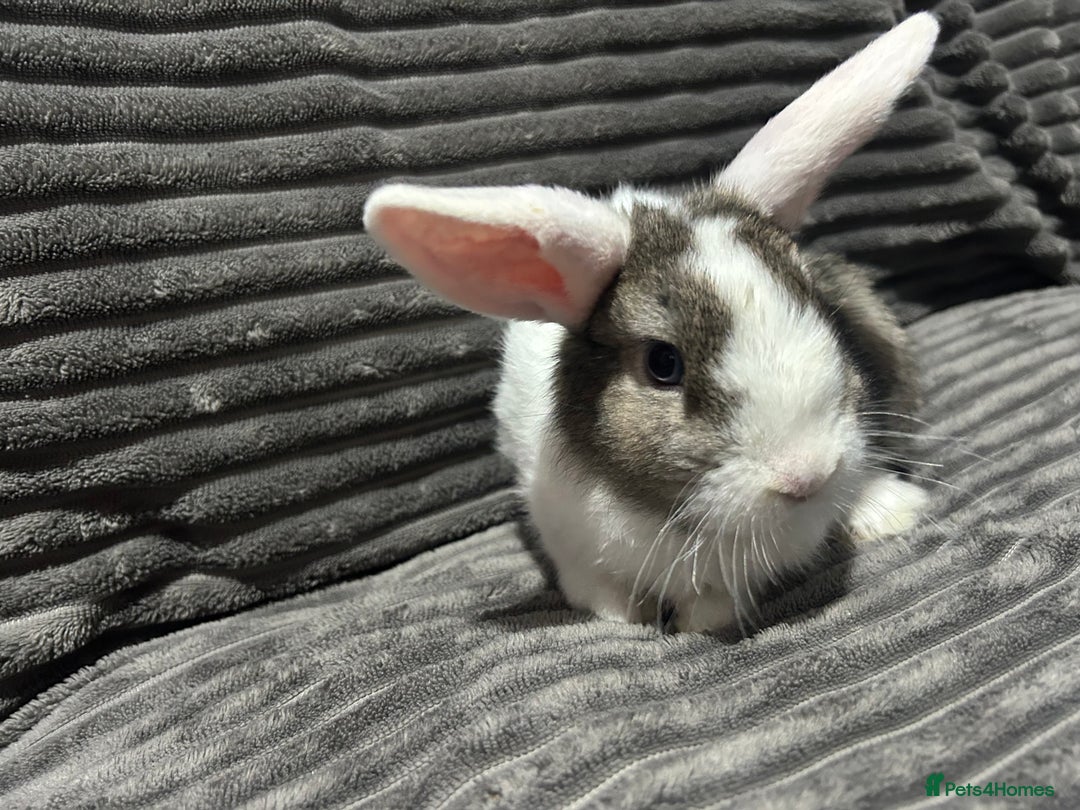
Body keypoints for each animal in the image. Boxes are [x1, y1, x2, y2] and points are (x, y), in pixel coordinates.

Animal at [363, 13, 939, 633]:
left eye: (817, 306)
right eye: (663, 364)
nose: (808, 475)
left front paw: (703, 618)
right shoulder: (571, 543)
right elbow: (602, 593)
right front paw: (631, 620)